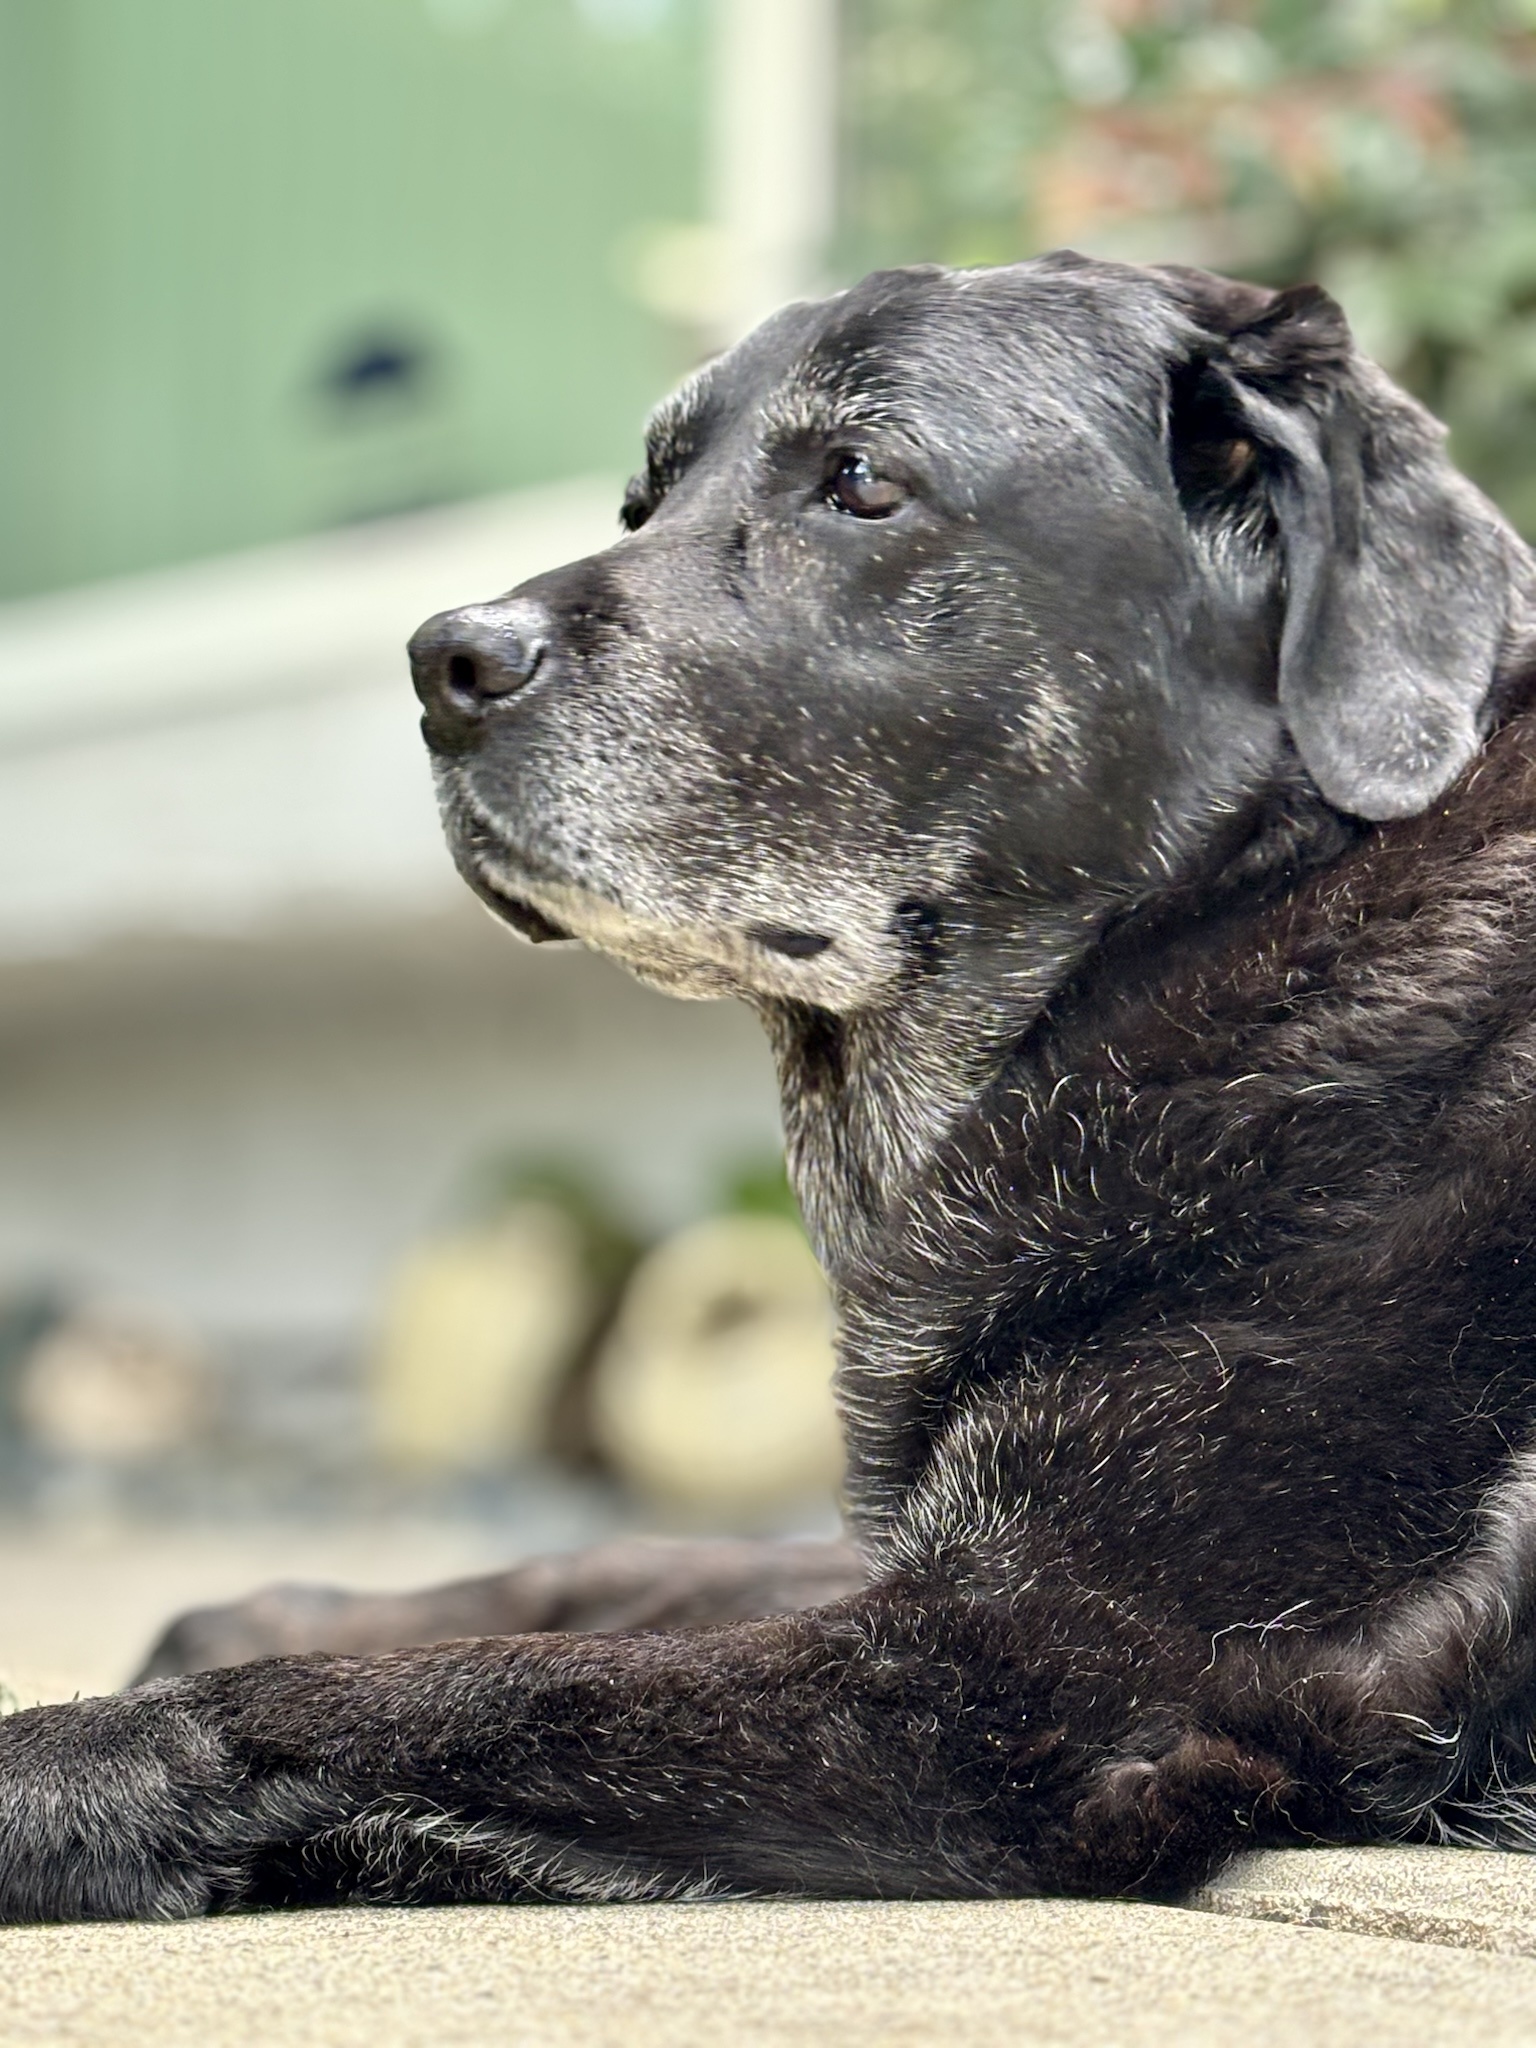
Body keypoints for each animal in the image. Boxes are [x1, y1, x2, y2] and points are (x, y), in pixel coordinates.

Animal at [3, 260, 1536, 1916]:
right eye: (643, 501)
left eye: (859, 481)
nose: (442, 664)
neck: (1240, 911)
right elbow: (614, 1576)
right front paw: (285, 1604)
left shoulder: (1026, 1681)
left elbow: (433, 1692)